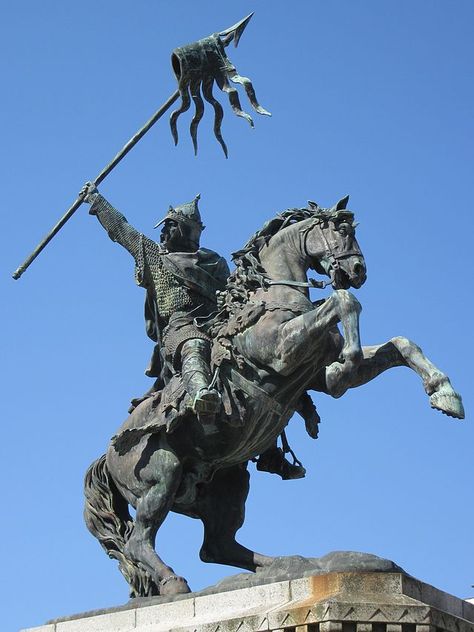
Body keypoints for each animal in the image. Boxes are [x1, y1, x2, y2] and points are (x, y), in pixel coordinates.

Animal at [84, 196, 462, 596]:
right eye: (341, 230)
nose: (358, 270)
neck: (273, 297)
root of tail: (107, 455)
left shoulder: (319, 374)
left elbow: (400, 344)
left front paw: (445, 394)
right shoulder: (281, 351)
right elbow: (344, 302)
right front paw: (350, 355)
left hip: (228, 484)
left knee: (217, 546)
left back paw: (288, 564)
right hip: (161, 474)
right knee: (140, 541)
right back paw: (174, 582)